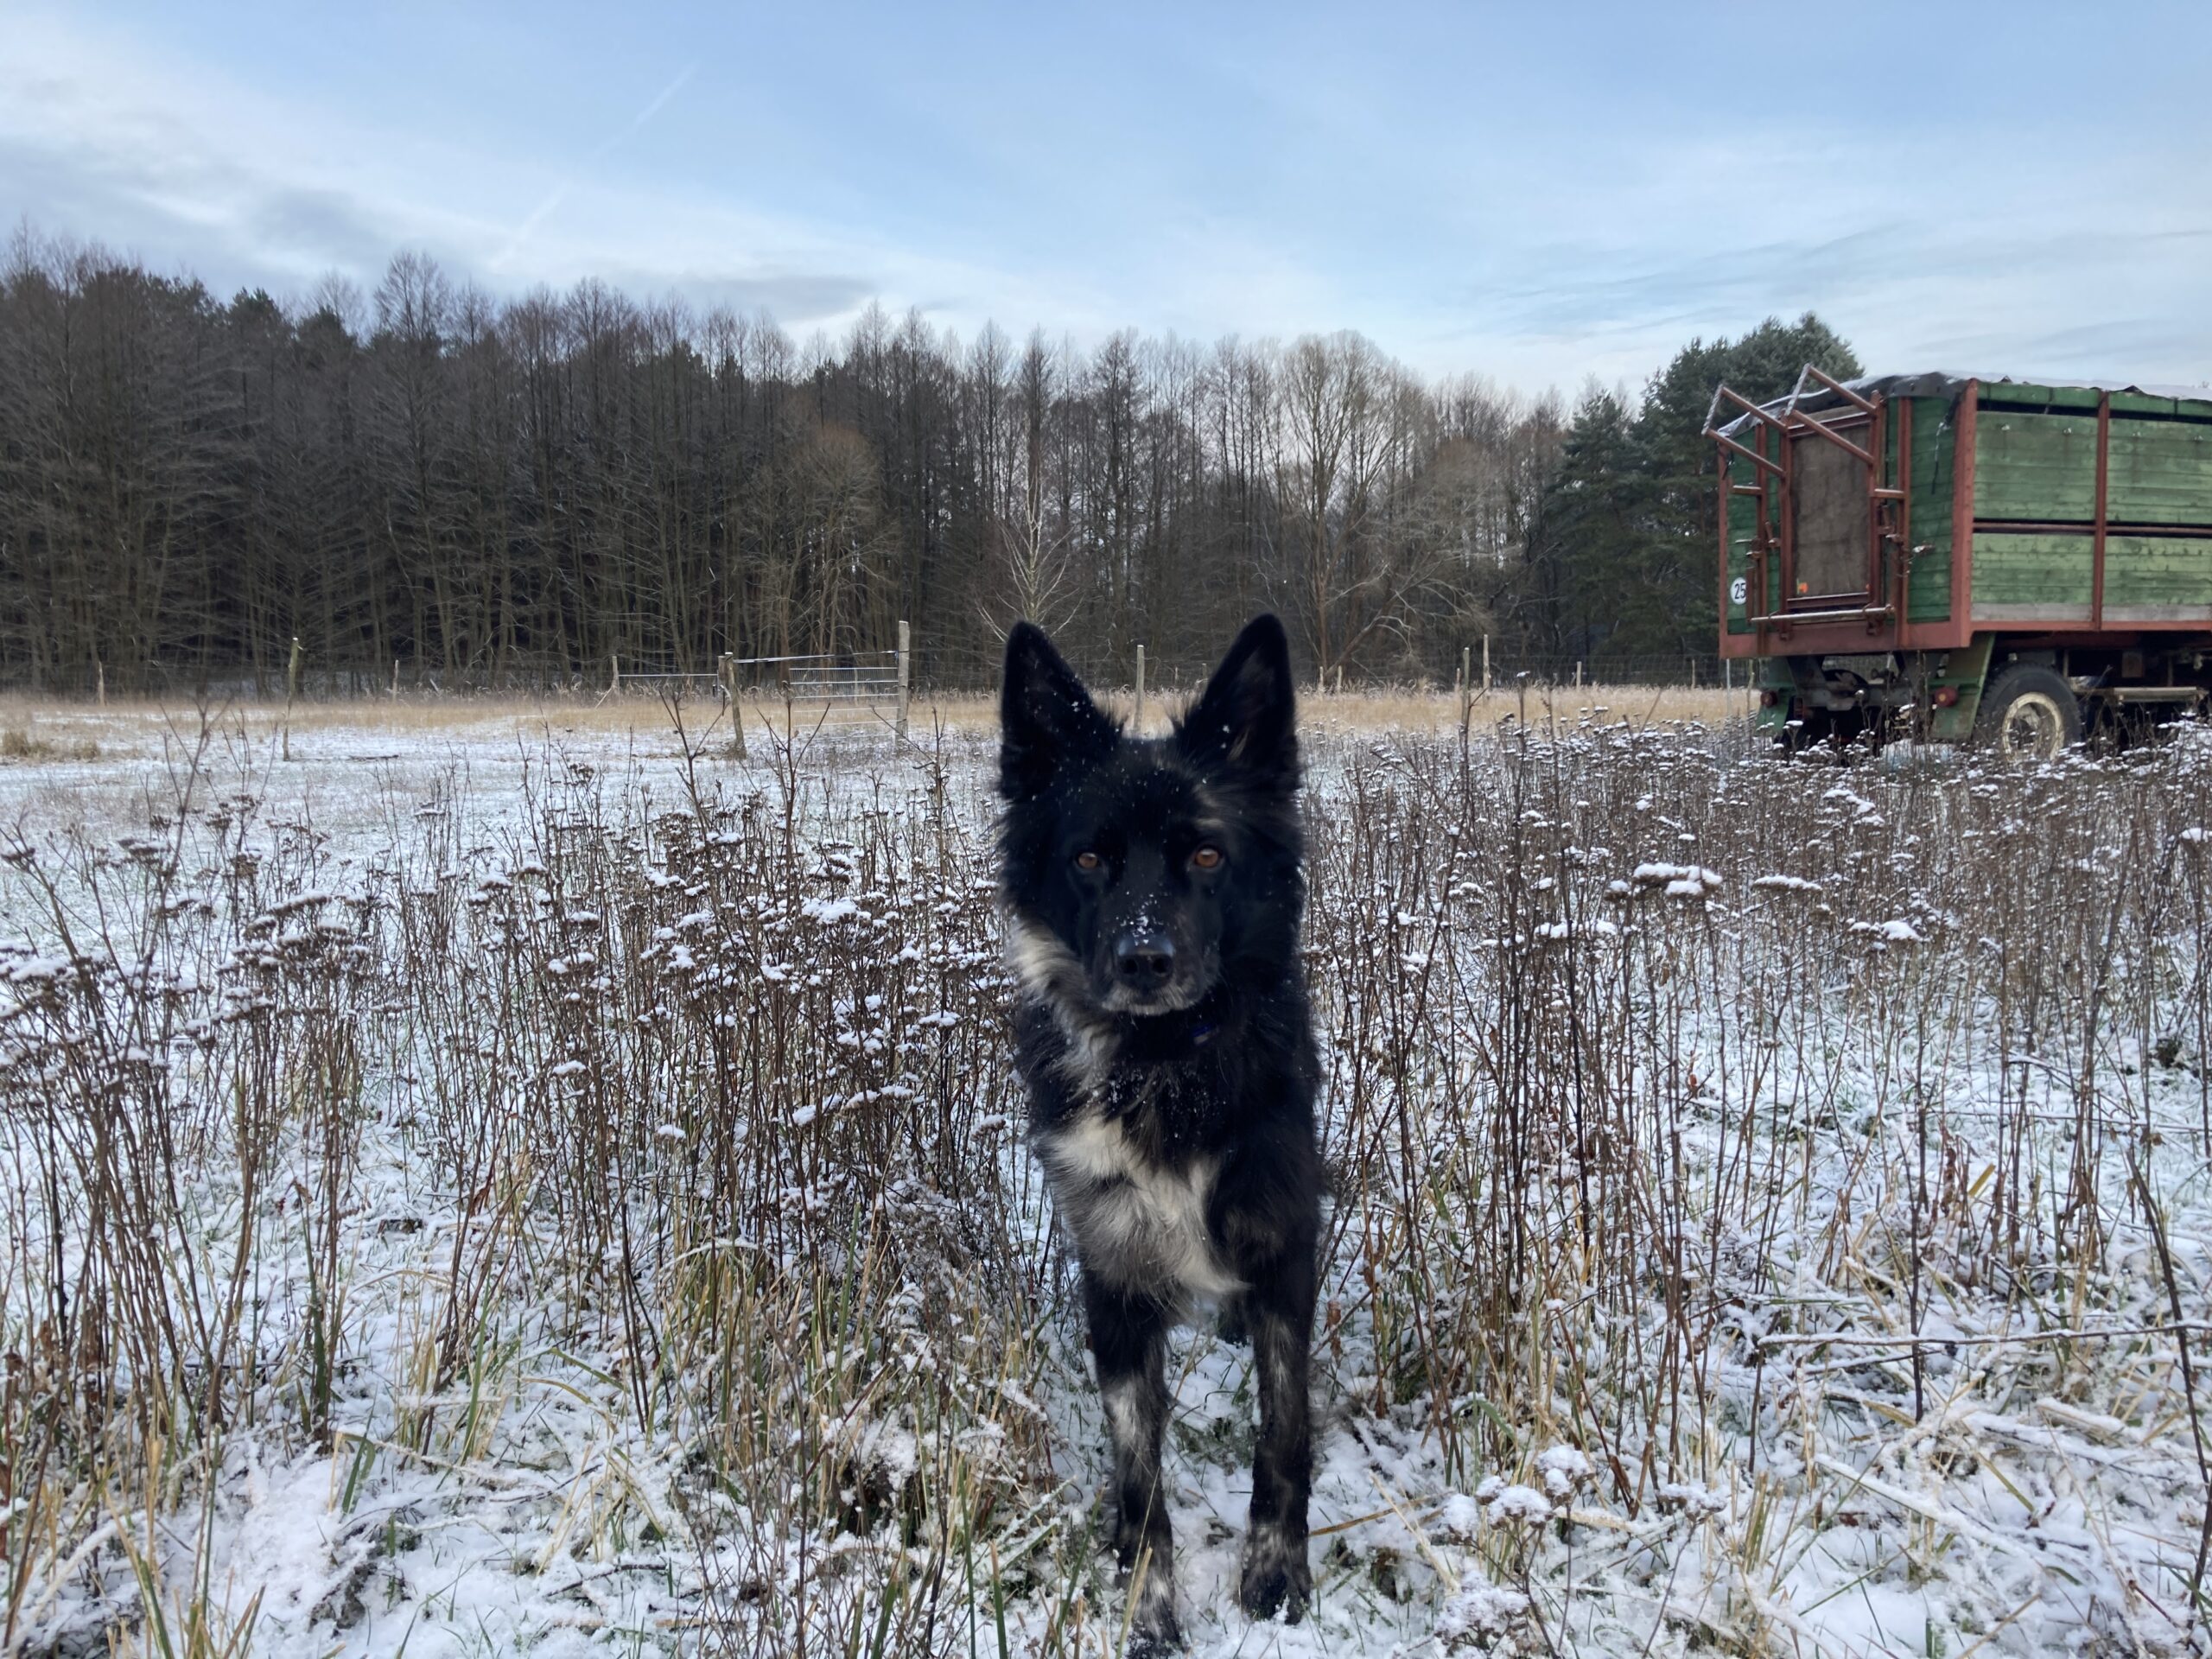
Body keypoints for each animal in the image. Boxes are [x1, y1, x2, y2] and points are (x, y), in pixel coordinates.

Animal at [1000, 619, 1318, 1654]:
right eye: (1089, 860)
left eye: (1208, 858)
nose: (1146, 960)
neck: (1165, 1064)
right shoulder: (1115, 1284)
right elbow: (1140, 1483)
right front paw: (1149, 1611)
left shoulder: (1283, 1249)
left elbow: (1283, 1431)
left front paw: (1276, 1576)